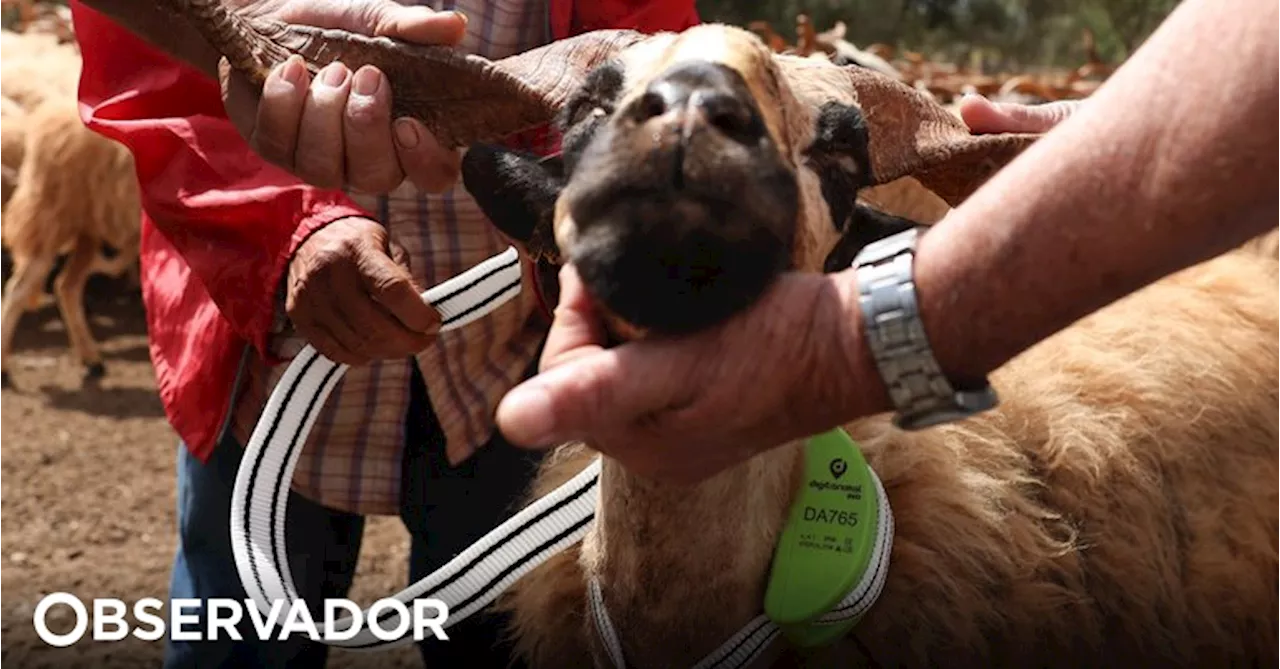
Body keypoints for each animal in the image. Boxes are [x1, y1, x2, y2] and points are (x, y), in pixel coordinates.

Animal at [0, 99, 140, 386]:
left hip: (87, 231)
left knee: (66, 287)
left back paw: (91, 359)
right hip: (53, 222)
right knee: (17, 291)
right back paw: (2, 366)